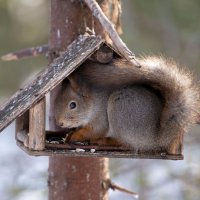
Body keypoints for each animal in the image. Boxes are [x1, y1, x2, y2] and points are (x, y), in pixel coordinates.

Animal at [54, 56, 199, 153]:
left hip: (120, 111)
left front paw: (75, 136)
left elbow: (95, 130)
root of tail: (155, 138)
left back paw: (102, 141)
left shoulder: (100, 117)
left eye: (73, 105)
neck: (93, 102)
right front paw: (69, 135)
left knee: (124, 143)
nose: (59, 123)